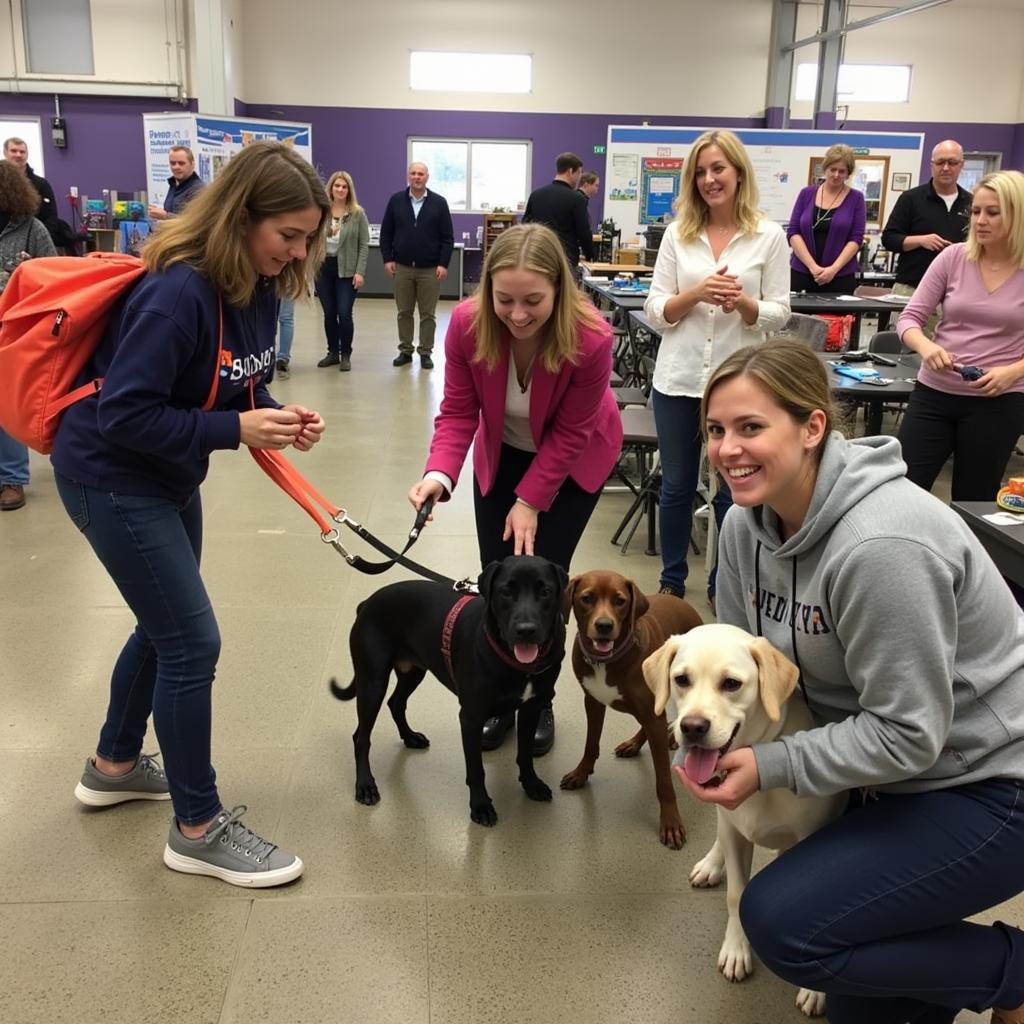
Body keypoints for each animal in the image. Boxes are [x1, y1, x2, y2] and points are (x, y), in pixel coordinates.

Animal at [329, 557, 565, 827]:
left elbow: (525, 753)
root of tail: (367, 603)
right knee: (361, 737)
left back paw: (410, 737)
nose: (526, 630)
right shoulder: (471, 718)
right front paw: (480, 806)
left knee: (395, 703)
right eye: (505, 592)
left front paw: (531, 784)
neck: (517, 664)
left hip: (413, 671)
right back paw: (365, 785)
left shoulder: (531, 709)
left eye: (545, 591)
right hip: (372, 683)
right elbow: (476, 769)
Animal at [561, 569, 704, 847]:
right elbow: (590, 744)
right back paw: (635, 743)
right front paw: (581, 773)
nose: (604, 626)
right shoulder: (592, 702)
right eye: (587, 598)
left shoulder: (650, 712)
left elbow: (664, 780)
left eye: (619, 601)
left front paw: (670, 822)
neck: (607, 661)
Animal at [638, 622, 847, 1015]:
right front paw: (736, 950)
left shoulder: (811, 837)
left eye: (731, 683)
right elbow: (736, 894)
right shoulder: (735, 832)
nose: (691, 727)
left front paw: (817, 989)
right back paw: (710, 863)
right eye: (681, 679)